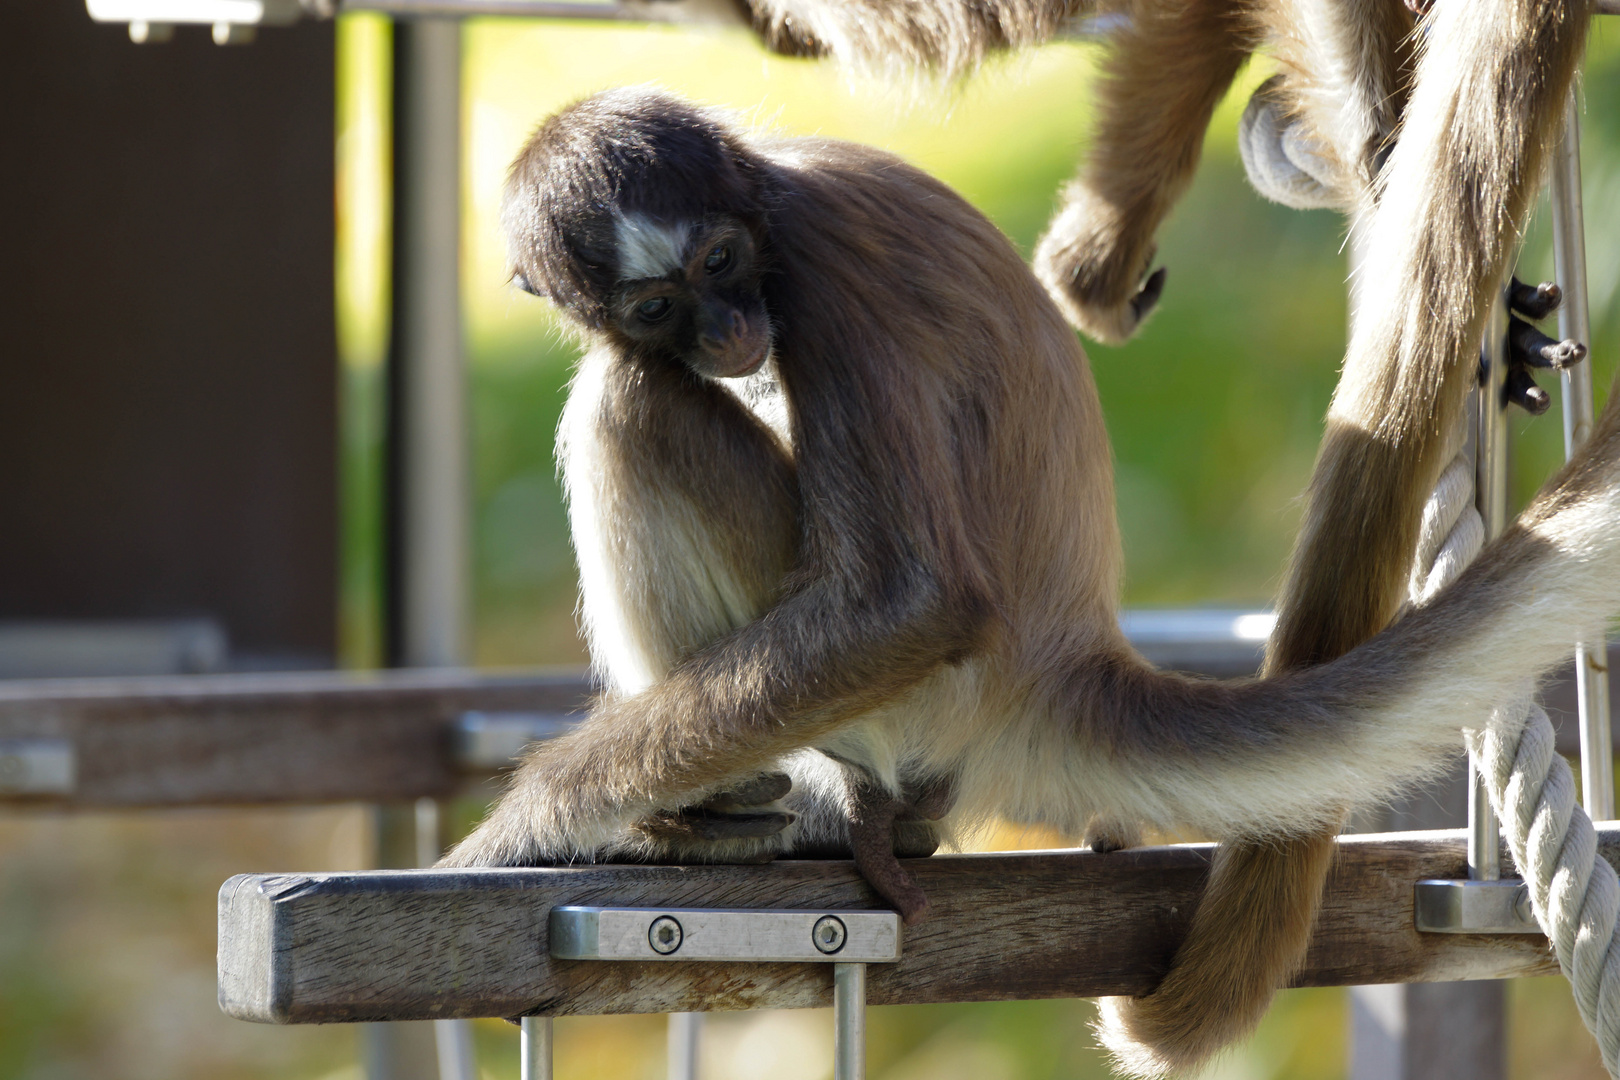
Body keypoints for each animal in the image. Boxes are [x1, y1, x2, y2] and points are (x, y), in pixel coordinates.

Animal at [450, 0, 1600, 1055]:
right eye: (657, 303)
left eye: (724, 260)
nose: (729, 328)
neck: (773, 193)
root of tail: (1069, 664)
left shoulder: (819, 269)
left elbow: (910, 604)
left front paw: (527, 826)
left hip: (924, 712)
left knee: (631, 405)